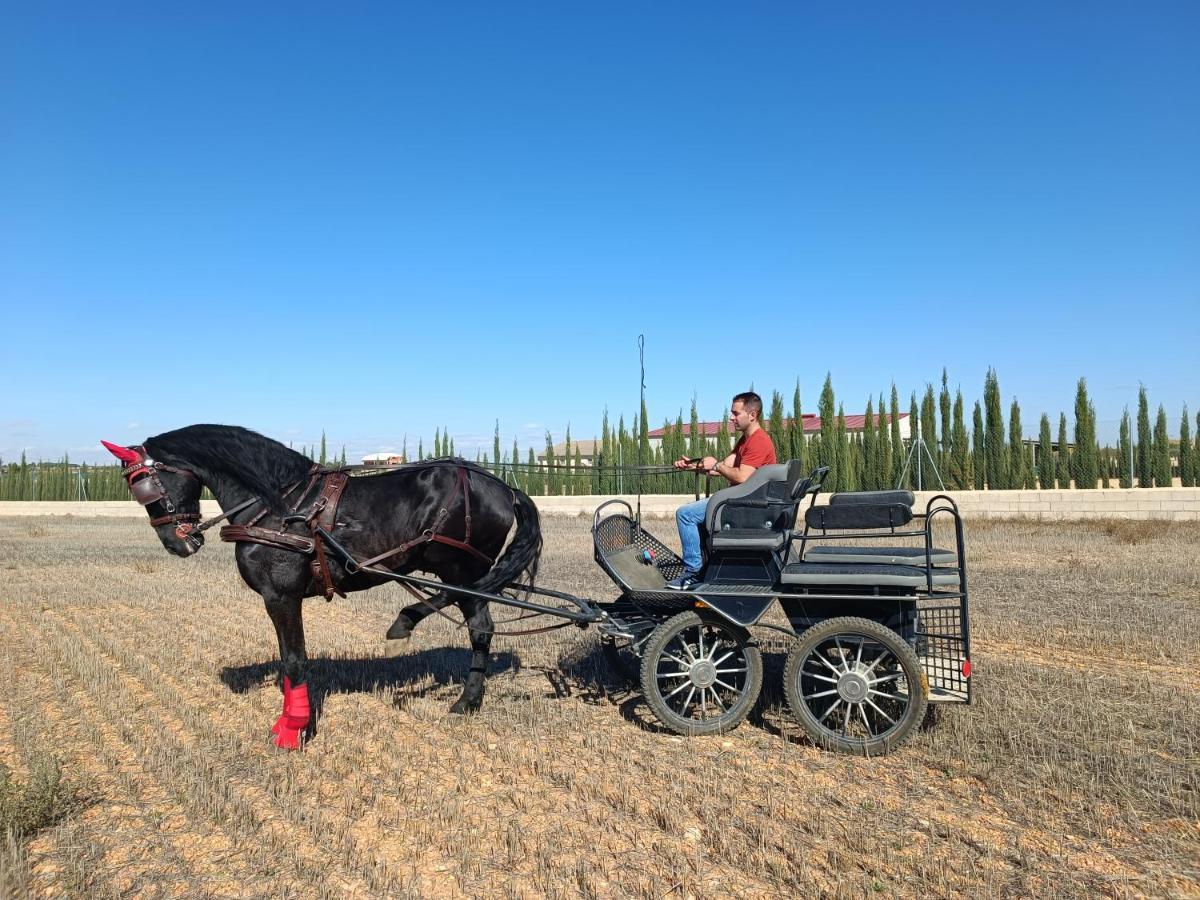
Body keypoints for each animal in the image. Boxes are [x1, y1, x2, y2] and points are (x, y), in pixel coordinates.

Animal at [103, 427, 544, 748]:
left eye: (142, 484)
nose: (177, 544)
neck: (279, 507)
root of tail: (503, 487)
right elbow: (289, 660)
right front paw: (290, 719)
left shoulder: (281, 596)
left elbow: (294, 660)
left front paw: (292, 729)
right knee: (480, 626)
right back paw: (467, 696)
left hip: (459, 568)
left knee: (476, 623)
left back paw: (422, 647)